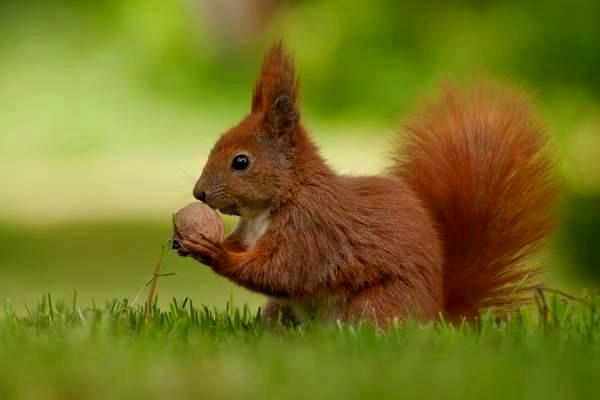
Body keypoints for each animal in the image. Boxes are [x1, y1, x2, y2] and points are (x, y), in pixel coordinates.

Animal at [177, 41, 556, 328]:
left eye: (241, 162)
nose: (199, 193)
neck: (273, 204)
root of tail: (437, 314)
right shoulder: (252, 231)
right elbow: (247, 250)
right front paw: (187, 241)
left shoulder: (312, 231)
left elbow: (280, 271)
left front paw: (215, 253)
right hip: (281, 309)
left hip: (376, 304)